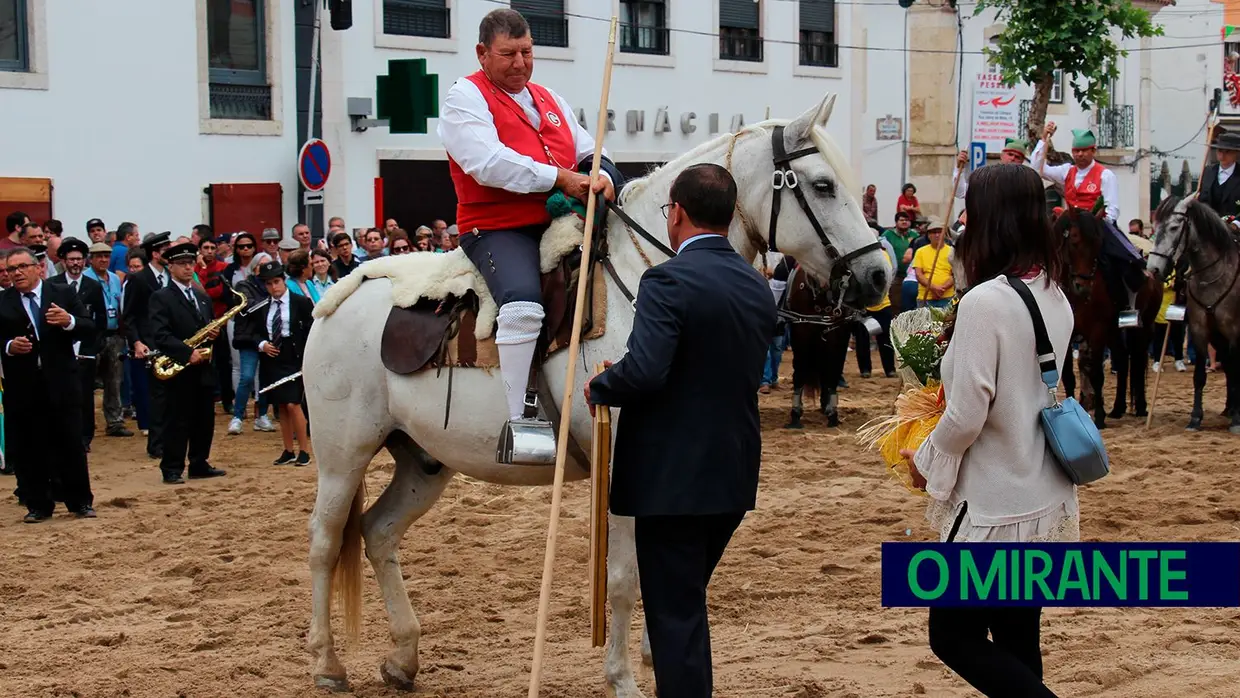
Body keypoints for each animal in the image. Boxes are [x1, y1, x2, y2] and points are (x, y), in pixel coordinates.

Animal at [783, 267, 853, 431]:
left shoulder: (838, 334)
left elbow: (832, 372)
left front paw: (833, 414)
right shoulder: (801, 331)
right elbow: (800, 371)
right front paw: (795, 415)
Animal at [1056, 207, 1160, 428]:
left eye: (1098, 243)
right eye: (1074, 239)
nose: (1083, 286)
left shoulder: (1097, 331)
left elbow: (1096, 374)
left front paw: (1099, 417)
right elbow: (1068, 376)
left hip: (1143, 328)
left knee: (1138, 361)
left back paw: (1141, 407)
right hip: (1114, 332)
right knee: (1122, 359)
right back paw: (1118, 408)